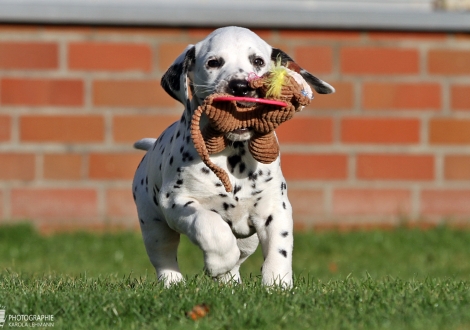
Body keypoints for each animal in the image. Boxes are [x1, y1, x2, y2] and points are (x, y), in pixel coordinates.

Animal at [132, 25, 334, 286]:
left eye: (257, 61)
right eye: (213, 62)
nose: (240, 86)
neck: (234, 155)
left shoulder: (276, 209)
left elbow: (279, 250)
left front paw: (277, 285)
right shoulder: (177, 201)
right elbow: (210, 226)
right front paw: (219, 261)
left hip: (248, 240)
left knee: (240, 258)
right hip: (153, 225)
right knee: (164, 257)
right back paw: (173, 283)